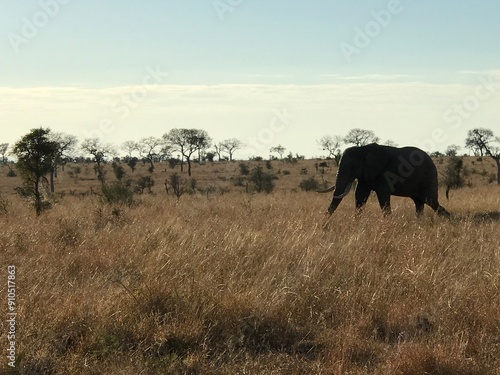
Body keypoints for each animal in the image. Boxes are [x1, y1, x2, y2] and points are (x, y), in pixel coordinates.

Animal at [318, 143, 452, 217]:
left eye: (352, 167)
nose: (324, 227)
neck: (363, 149)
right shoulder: (365, 175)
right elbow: (360, 196)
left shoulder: (384, 173)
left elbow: (383, 198)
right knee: (419, 203)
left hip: (428, 178)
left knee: (431, 202)